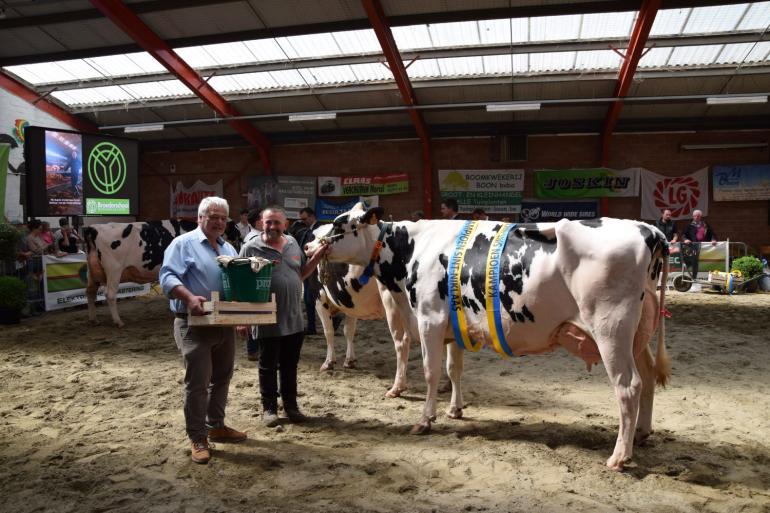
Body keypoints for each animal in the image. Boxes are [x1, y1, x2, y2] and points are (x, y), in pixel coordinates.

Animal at [304, 202, 664, 470]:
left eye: (337, 225)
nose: (307, 244)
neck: (412, 250)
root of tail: (647, 229)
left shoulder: (429, 320)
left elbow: (431, 371)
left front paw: (425, 419)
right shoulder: (452, 328)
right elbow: (454, 369)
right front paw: (455, 410)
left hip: (611, 329)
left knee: (628, 386)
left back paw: (619, 456)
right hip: (639, 333)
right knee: (647, 378)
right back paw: (642, 433)